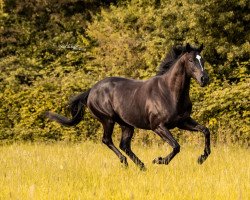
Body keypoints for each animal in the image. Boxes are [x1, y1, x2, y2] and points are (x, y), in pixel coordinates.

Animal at [46, 43, 211, 170]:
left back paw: (142, 166)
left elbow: (205, 130)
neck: (169, 92)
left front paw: (201, 158)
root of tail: (91, 91)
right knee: (107, 140)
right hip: (108, 120)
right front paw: (159, 160)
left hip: (126, 125)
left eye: (202, 59)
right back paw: (126, 162)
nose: (204, 79)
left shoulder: (182, 122)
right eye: (190, 60)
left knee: (124, 144)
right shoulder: (158, 126)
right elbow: (176, 146)